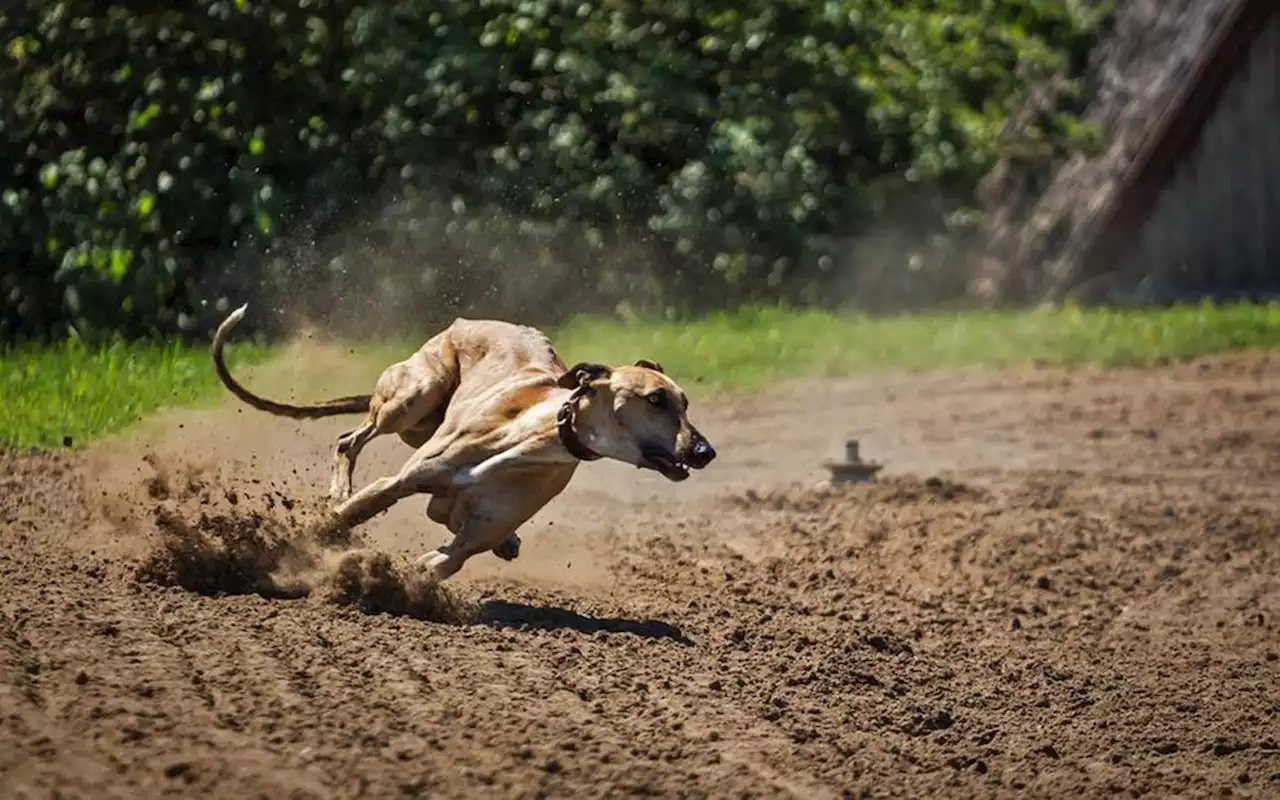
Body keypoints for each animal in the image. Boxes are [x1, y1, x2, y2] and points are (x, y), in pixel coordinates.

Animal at [204, 305, 716, 581]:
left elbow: (443, 560)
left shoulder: (466, 541)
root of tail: (466, 321)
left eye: (686, 402)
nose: (705, 452)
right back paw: (339, 490)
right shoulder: (399, 482)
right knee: (350, 440)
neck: (531, 438)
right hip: (413, 397)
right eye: (656, 399)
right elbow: (348, 514)